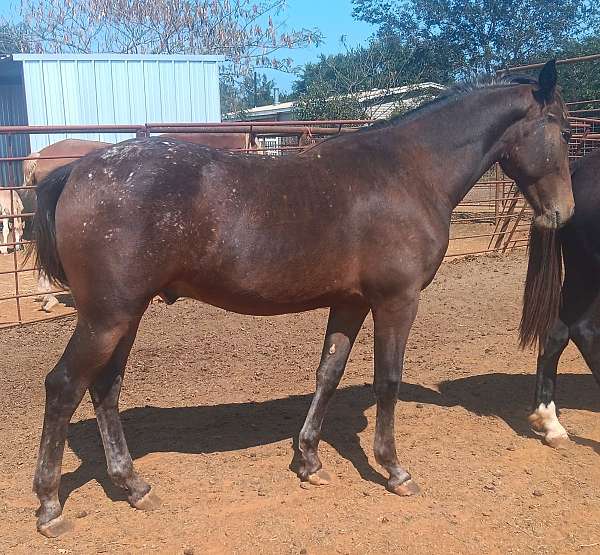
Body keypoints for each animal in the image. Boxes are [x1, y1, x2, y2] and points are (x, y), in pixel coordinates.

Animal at [28, 60, 572, 540]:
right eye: (565, 132)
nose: (563, 213)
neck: (408, 172)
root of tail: (78, 171)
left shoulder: (350, 302)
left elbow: (328, 374)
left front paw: (309, 460)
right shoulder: (397, 301)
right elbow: (388, 381)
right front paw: (394, 470)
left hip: (125, 316)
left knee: (105, 391)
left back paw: (133, 486)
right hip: (107, 317)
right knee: (64, 388)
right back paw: (50, 506)